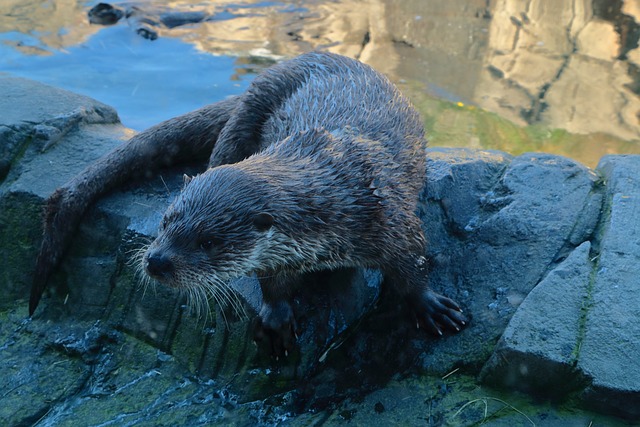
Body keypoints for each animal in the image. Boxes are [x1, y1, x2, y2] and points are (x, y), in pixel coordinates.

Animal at [30, 52, 465, 355]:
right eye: (166, 221)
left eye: (208, 242)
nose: (156, 260)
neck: (338, 196)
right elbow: (273, 283)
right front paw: (275, 318)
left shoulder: (393, 219)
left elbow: (413, 265)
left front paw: (430, 306)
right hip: (247, 112)